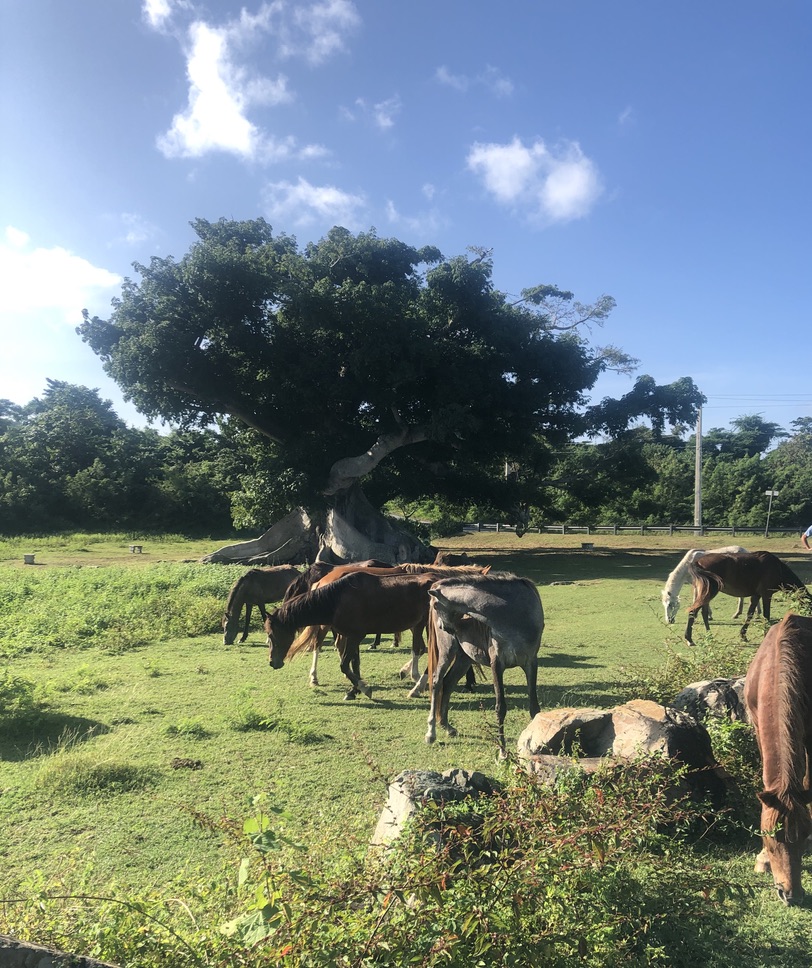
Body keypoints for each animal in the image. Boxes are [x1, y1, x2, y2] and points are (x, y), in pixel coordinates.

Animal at [266, 571, 439, 700]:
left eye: (272, 635)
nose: (273, 663)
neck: (337, 600)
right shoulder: (352, 636)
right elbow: (354, 664)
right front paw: (354, 690)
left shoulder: (356, 636)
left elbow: (344, 665)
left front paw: (363, 688)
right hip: (419, 625)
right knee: (420, 649)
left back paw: (417, 687)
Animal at [424, 572, 544, 756]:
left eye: (436, 606)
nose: (442, 626)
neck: (513, 614)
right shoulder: (497, 664)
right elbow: (500, 708)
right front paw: (502, 752)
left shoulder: (531, 662)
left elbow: (534, 707)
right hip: (447, 651)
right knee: (437, 682)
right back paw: (431, 733)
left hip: (464, 659)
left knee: (448, 682)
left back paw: (446, 726)